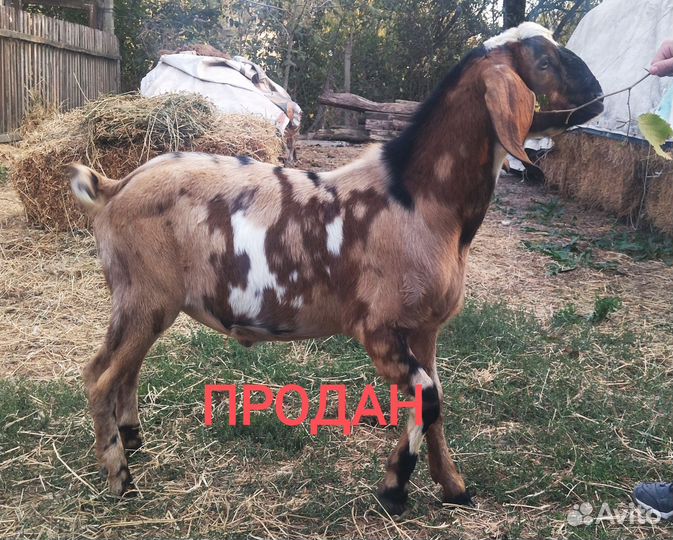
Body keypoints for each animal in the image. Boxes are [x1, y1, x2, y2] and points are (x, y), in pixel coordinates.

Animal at [69, 22, 603, 514]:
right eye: (543, 61)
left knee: (123, 369)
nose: (597, 95)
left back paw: (132, 439)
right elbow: (426, 398)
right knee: (98, 376)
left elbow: (438, 404)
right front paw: (394, 489)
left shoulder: (426, 329)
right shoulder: (378, 328)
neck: (419, 199)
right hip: (143, 295)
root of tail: (112, 188)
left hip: (147, 302)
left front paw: (454, 488)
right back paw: (121, 478)